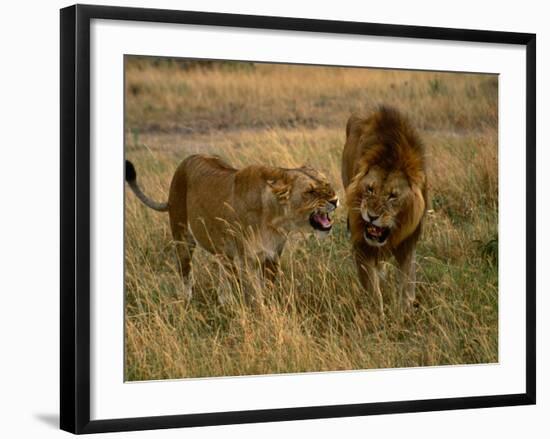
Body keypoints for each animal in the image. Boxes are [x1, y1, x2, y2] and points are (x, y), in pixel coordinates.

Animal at [126, 154, 338, 302]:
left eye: (327, 184)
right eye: (310, 192)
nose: (335, 200)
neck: (275, 218)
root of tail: (186, 160)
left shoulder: (272, 255)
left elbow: (268, 289)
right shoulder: (247, 259)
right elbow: (254, 294)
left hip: (223, 252)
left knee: (224, 275)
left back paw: (225, 302)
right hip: (182, 237)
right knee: (186, 274)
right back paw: (187, 303)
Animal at [342, 106, 430, 316]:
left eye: (393, 196)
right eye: (370, 189)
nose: (372, 216)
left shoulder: (408, 242)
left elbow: (407, 281)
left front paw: (404, 314)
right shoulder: (361, 242)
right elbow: (373, 289)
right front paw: (377, 318)